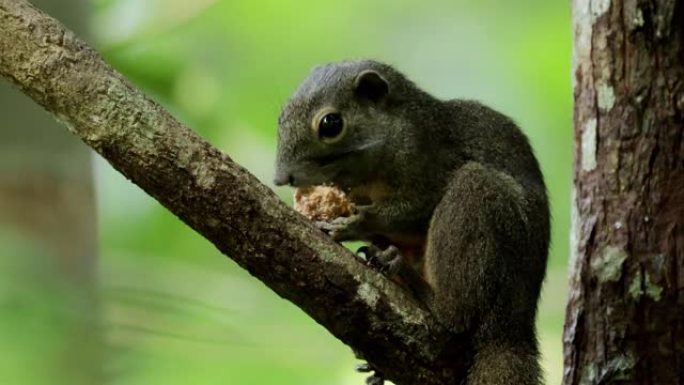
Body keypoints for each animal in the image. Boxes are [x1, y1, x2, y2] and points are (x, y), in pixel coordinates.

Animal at [272, 60, 552, 384]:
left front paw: (353, 224)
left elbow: (412, 211)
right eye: (281, 116)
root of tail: (512, 326)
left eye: (331, 124)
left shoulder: (431, 164)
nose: (280, 178)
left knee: (457, 317)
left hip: (479, 202)